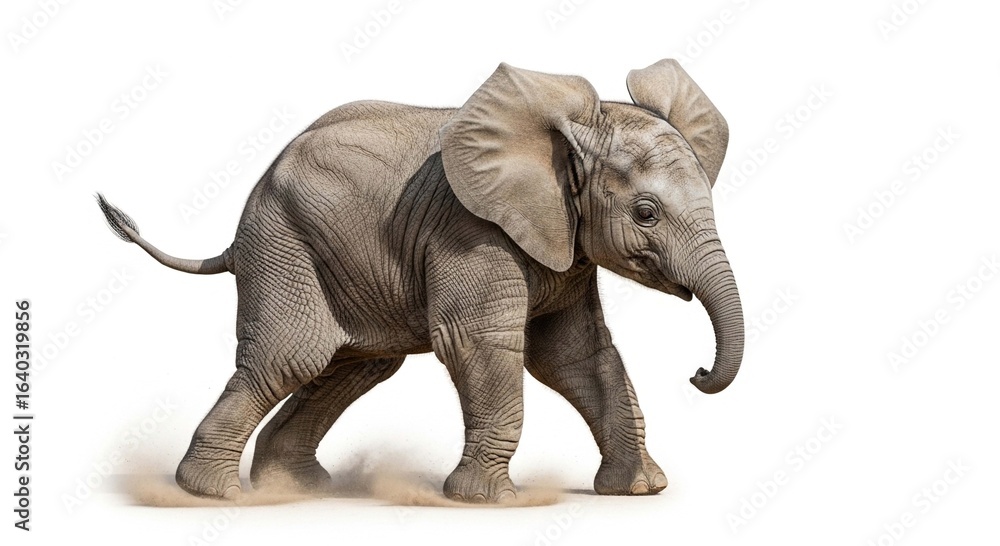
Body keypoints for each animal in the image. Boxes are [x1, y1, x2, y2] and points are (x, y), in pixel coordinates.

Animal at [96, 58, 744, 503]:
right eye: (646, 213)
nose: (697, 371)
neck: (574, 129)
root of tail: (238, 229)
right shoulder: (473, 231)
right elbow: (482, 344)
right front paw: (488, 503)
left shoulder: (566, 242)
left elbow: (577, 356)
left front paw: (641, 491)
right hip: (284, 244)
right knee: (293, 356)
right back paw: (214, 493)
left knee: (356, 365)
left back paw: (299, 489)